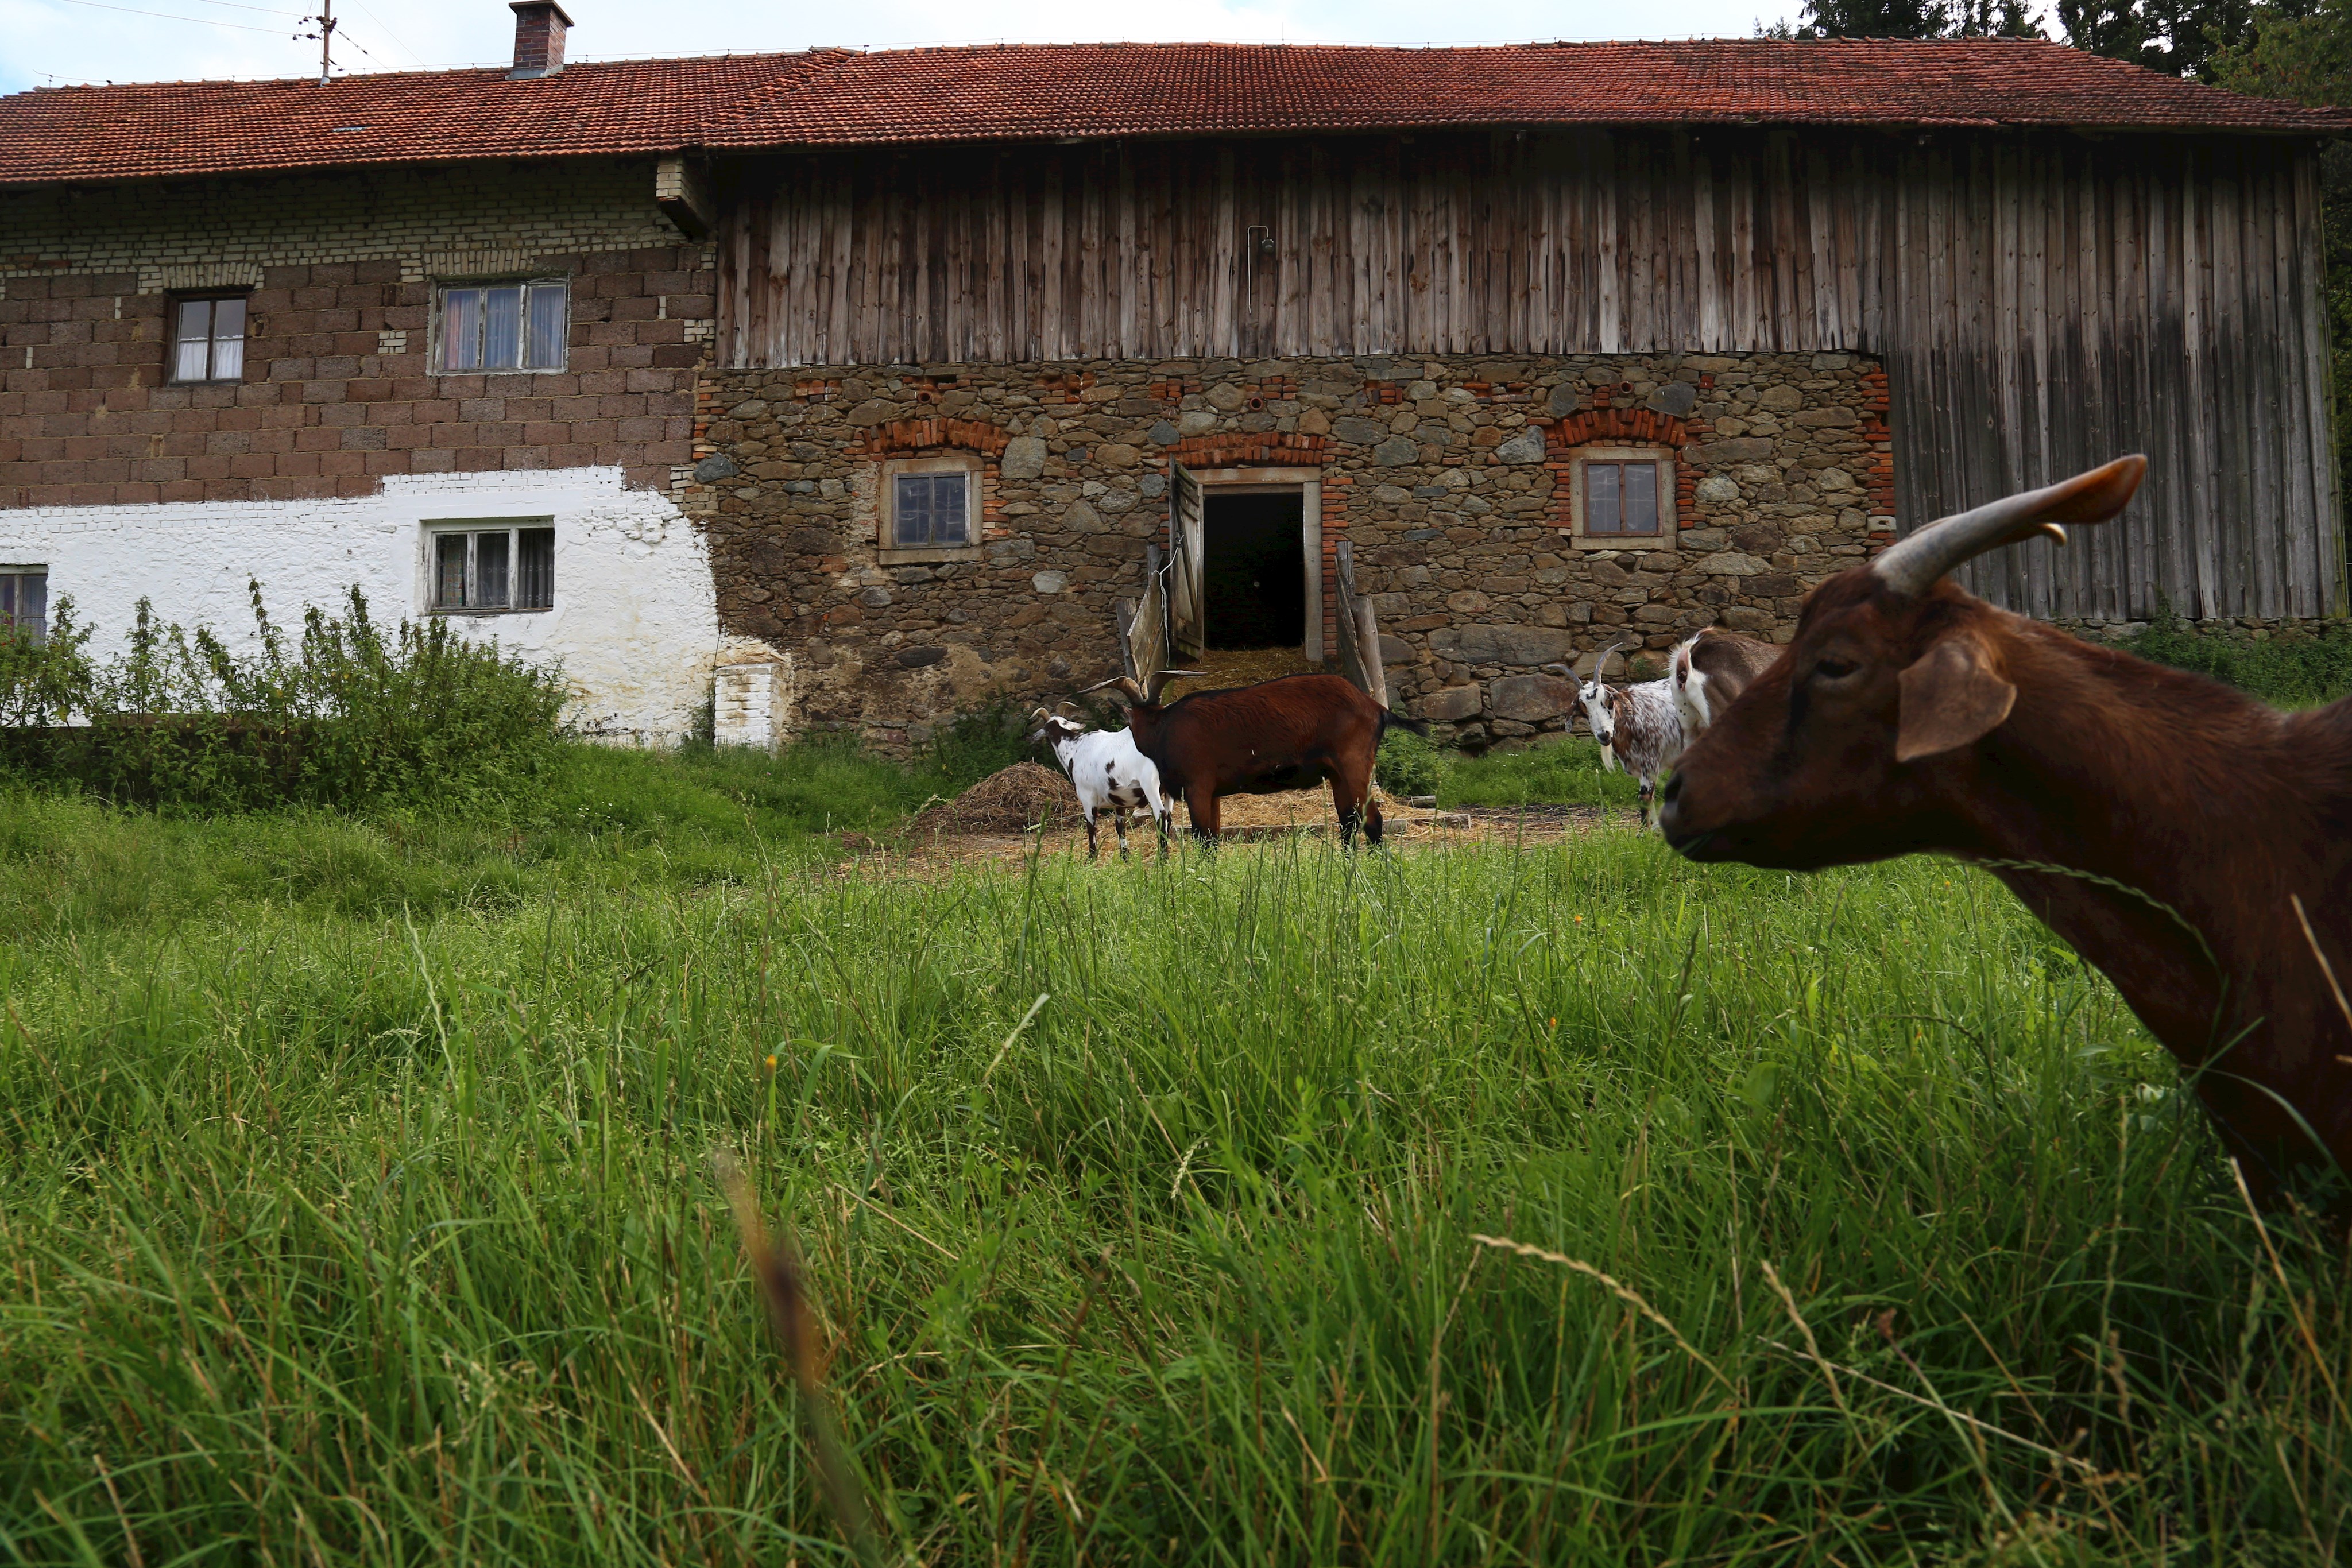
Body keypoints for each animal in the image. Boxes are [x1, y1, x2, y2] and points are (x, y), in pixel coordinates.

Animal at [1030, 710, 1176, 860]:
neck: (1074, 749)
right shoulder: (1119, 800)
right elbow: (1120, 826)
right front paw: (1125, 855)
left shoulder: (1087, 797)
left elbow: (1091, 826)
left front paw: (1092, 856)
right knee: (1169, 817)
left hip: (1150, 785)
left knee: (1161, 817)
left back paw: (1163, 857)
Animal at [1077, 672, 1420, 846]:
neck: (1163, 728)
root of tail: (1376, 708)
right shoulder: (1212, 794)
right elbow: (1213, 837)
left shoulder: (1198, 787)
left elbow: (1205, 839)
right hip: (1338, 775)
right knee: (1348, 823)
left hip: (1354, 765)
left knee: (1372, 821)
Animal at [1571, 639, 1684, 832]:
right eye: (1583, 708)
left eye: (1609, 699)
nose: (1604, 735)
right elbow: (1651, 798)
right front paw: (1654, 829)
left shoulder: (1650, 760)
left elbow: (1644, 798)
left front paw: (1644, 834)